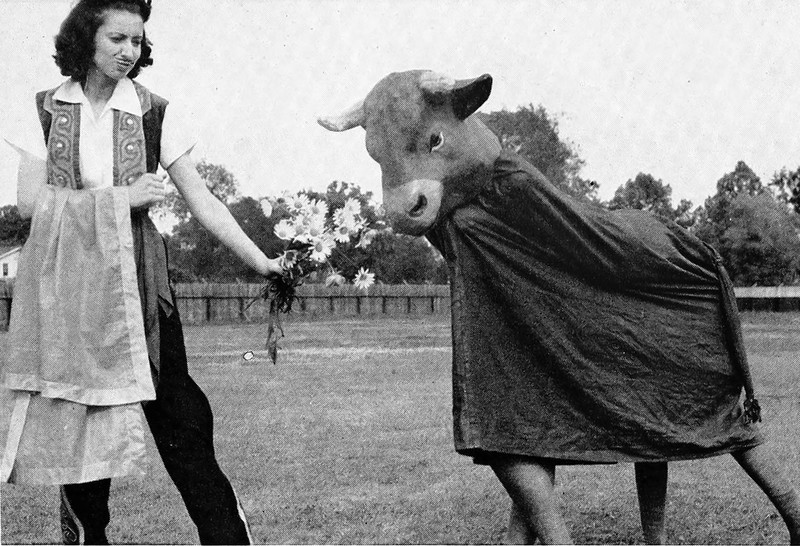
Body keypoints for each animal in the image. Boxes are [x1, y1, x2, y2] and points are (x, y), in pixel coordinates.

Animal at [318, 70, 800, 544]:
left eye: (435, 138)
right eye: (373, 153)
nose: (404, 211)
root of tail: (703, 247)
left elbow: (529, 487)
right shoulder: (528, 411)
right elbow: (528, 485)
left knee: (746, 441)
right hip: (655, 407)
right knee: (655, 462)